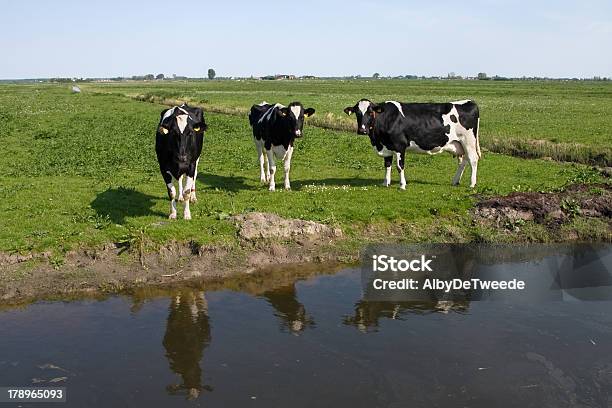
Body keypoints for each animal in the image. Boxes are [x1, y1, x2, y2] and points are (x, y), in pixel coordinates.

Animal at [344, 99, 478, 188]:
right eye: (357, 112)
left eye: (371, 112)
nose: (362, 130)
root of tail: (469, 102)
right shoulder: (387, 147)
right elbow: (387, 165)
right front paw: (385, 183)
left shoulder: (400, 146)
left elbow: (399, 166)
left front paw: (402, 185)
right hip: (459, 144)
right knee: (464, 161)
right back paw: (455, 181)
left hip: (468, 141)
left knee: (473, 159)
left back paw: (472, 184)